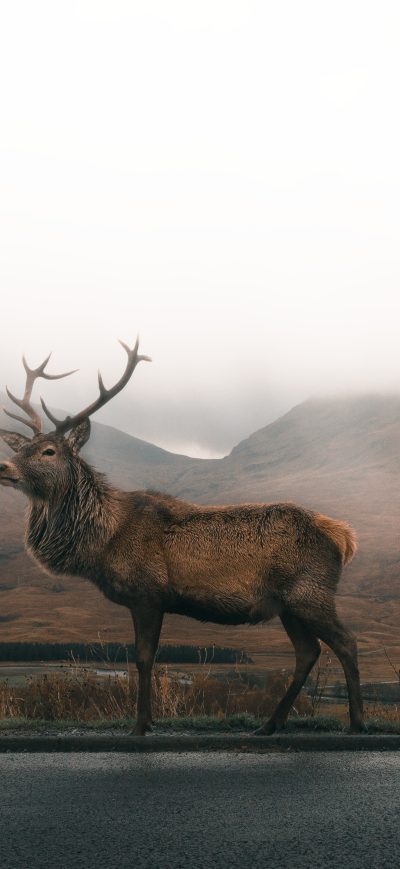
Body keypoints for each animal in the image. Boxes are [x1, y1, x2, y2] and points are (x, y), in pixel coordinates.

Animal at [0, 340, 365, 735]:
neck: (101, 543)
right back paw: (269, 724)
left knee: (346, 642)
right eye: (18, 449)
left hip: (310, 593)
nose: (4, 466)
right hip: (287, 604)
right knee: (308, 652)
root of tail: (343, 537)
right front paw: (148, 720)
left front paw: (140, 725)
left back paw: (357, 722)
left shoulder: (148, 593)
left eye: (48, 451)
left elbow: (144, 659)